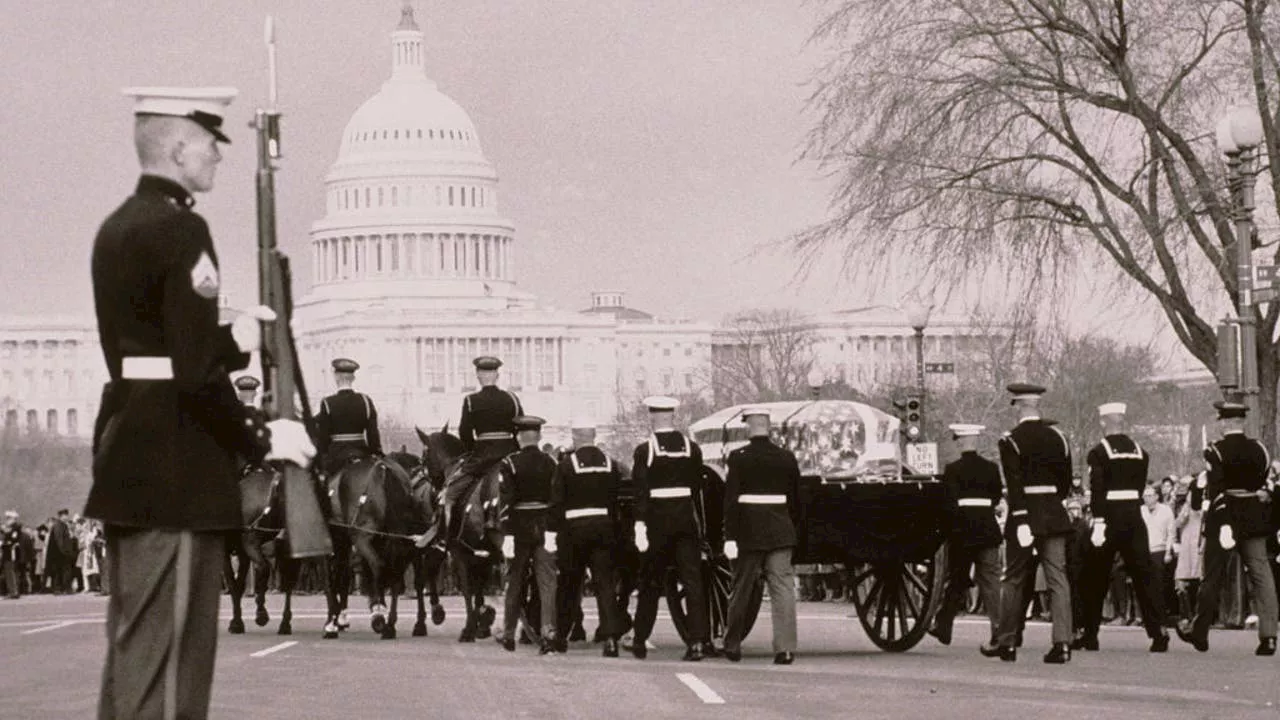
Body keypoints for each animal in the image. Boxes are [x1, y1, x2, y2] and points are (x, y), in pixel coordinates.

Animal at [221, 461, 300, 630]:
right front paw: (237, 620)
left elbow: (233, 583)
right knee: (288, 579)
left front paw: (236, 623)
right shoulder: (242, 553)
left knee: (263, 568)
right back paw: (285, 623)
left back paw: (262, 613)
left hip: (252, 542)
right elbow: (239, 583)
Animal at [417, 420, 501, 638]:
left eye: (424, 456)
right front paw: (483, 619)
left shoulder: (459, 551)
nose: (434, 492)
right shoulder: (481, 553)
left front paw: (470, 627)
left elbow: (466, 587)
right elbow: (478, 587)